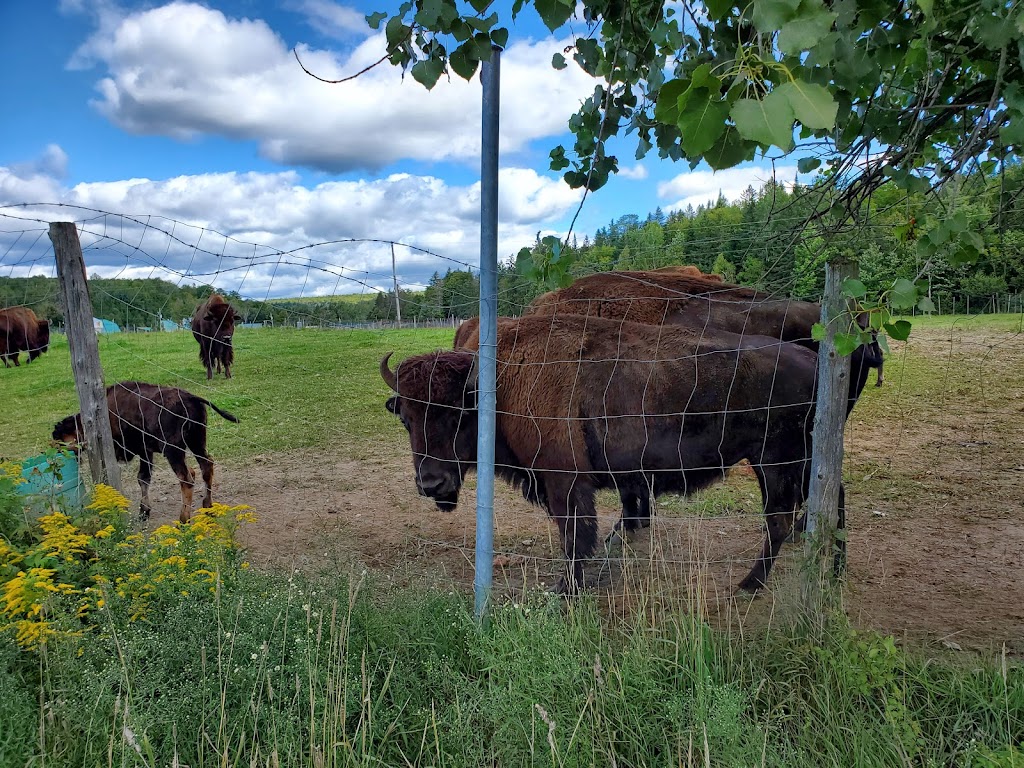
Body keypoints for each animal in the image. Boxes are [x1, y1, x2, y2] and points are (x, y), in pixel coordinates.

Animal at [52, 382, 238, 528]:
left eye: (59, 438)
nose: (57, 452)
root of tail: (191, 398)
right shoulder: (146, 452)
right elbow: (143, 478)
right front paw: (144, 511)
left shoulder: (142, 451)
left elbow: (142, 478)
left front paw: (143, 512)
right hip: (197, 442)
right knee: (206, 465)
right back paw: (208, 507)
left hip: (173, 450)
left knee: (187, 477)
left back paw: (183, 520)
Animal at [385, 313, 856, 593]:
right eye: (406, 418)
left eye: (456, 415)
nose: (431, 483)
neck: (500, 384)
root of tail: (815, 362)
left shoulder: (565, 484)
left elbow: (574, 536)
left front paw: (566, 591)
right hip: (795, 459)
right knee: (830, 498)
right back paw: (833, 568)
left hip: (776, 461)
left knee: (780, 517)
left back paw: (750, 583)